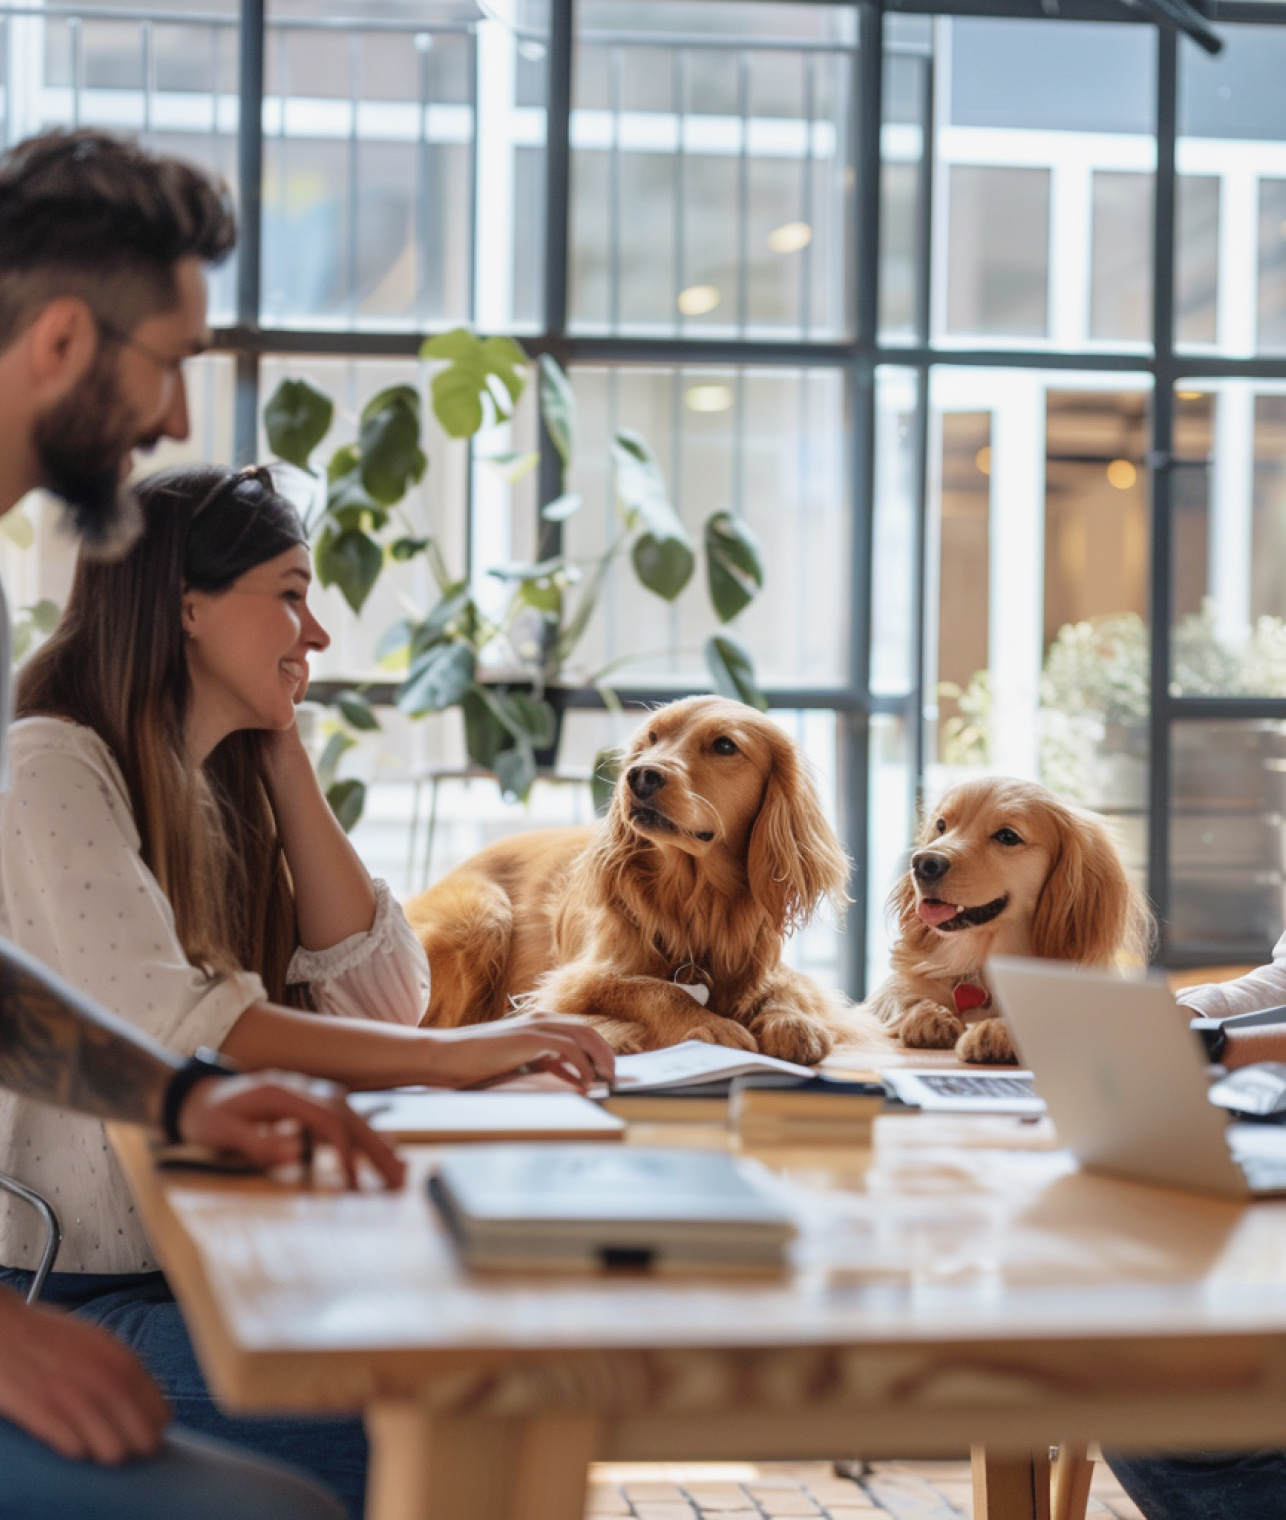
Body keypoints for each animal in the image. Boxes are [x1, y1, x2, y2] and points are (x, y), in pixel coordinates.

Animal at [407, 696, 863, 1064]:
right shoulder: (570, 982)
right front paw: (708, 1023)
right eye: (653, 737)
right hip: (483, 915)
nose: (641, 775)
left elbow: (788, 987)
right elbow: (649, 988)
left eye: (725, 746)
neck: (695, 900)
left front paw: (791, 1021)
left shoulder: (762, 965)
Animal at [863, 778, 1155, 1064]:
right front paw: (928, 1014)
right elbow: (903, 999)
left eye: (1007, 836)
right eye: (941, 826)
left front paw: (997, 1029)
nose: (923, 863)